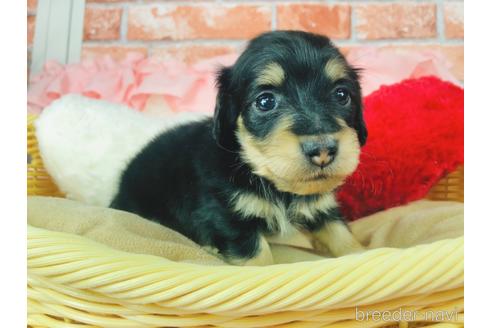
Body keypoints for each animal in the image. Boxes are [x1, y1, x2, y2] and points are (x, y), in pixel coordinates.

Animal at [110, 30, 366, 266]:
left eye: (341, 94)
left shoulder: (323, 208)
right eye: (265, 101)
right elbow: (257, 255)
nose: (322, 150)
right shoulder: (226, 216)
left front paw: (362, 254)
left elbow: (341, 234)